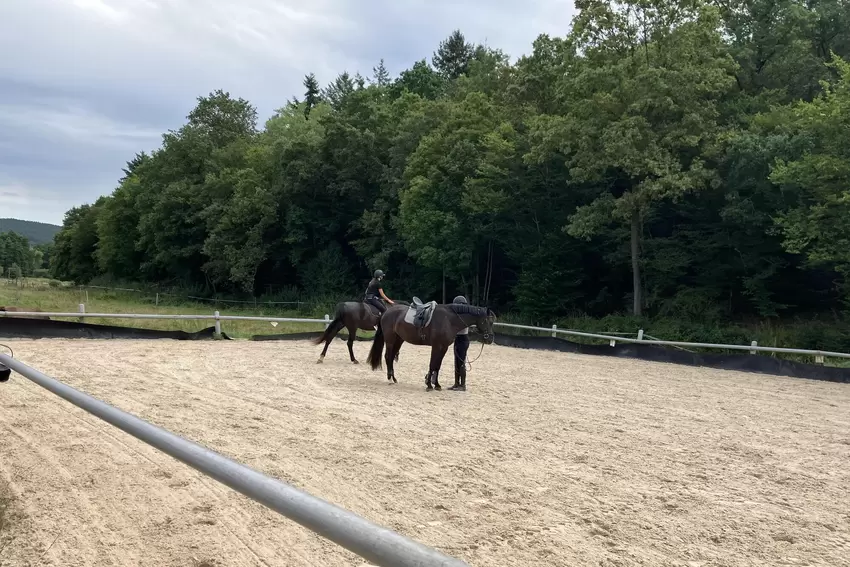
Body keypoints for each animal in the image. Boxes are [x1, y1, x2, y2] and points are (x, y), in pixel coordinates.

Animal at [366, 304, 496, 392]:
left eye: (492, 322)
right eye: (486, 321)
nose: (489, 339)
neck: (448, 320)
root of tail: (386, 311)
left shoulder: (443, 347)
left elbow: (437, 366)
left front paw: (436, 384)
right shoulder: (436, 346)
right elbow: (432, 364)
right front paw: (429, 385)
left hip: (399, 340)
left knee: (392, 357)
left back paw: (394, 378)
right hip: (390, 340)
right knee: (388, 356)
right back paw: (391, 378)